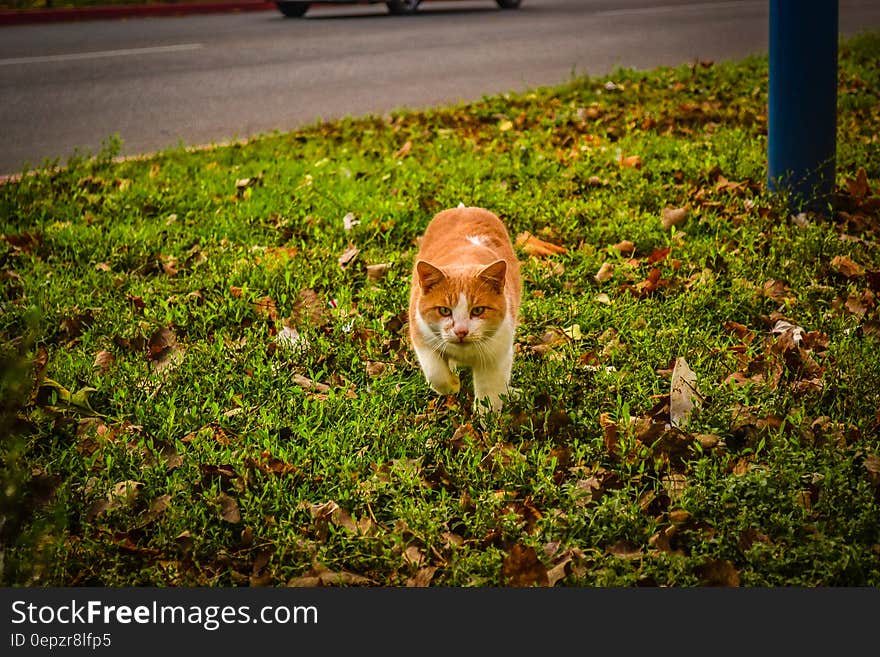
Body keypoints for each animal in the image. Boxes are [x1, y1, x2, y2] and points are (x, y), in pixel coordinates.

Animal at [410, 205, 524, 412]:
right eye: (444, 310)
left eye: (478, 310)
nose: (461, 331)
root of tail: (464, 210)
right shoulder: (421, 335)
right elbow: (435, 373)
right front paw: (453, 384)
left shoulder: (497, 356)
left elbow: (490, 393)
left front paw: (488, 416)